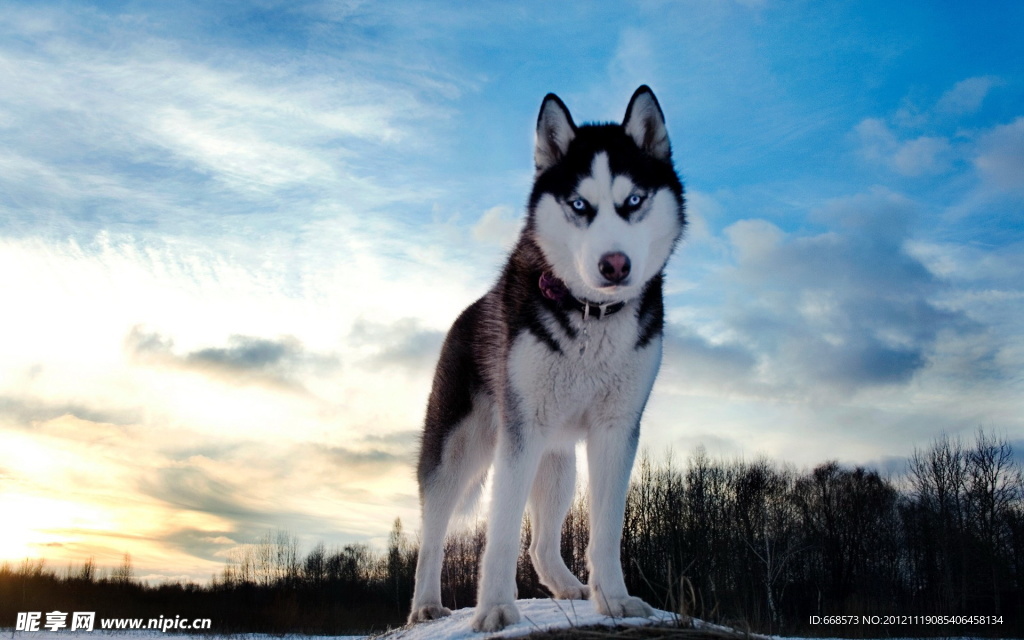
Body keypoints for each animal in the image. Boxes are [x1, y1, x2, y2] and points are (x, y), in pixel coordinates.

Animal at [409, 86, 688, 634]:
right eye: (580, 204)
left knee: (540, 543)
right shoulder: (520, 433)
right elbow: (499, 533)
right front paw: (496, 608)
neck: (591, 315)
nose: (615, 264)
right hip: (458, 451)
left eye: (634, 201)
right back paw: (426, 605)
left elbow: (606, 530)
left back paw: (568, 587)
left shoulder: (616, 430)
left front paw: (614, 600)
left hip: (558, 463)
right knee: (432, 534)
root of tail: (465, 313)